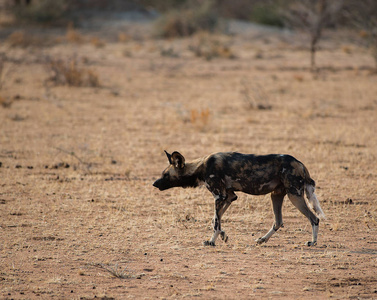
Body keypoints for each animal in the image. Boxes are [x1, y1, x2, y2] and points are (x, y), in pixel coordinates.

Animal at [151, 150, 324, 246]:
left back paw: (313, 242)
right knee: (278, 221)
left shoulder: (219, 196)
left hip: (294, 195)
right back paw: (262, 240)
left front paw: (211, 241)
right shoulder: (229, 197)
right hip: (276, 195)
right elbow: (215, 219)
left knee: (314, 218)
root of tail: (300, 163)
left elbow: (216, 222)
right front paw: (223, 235)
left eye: (165, 175)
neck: (200, 167)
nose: (154, 183)